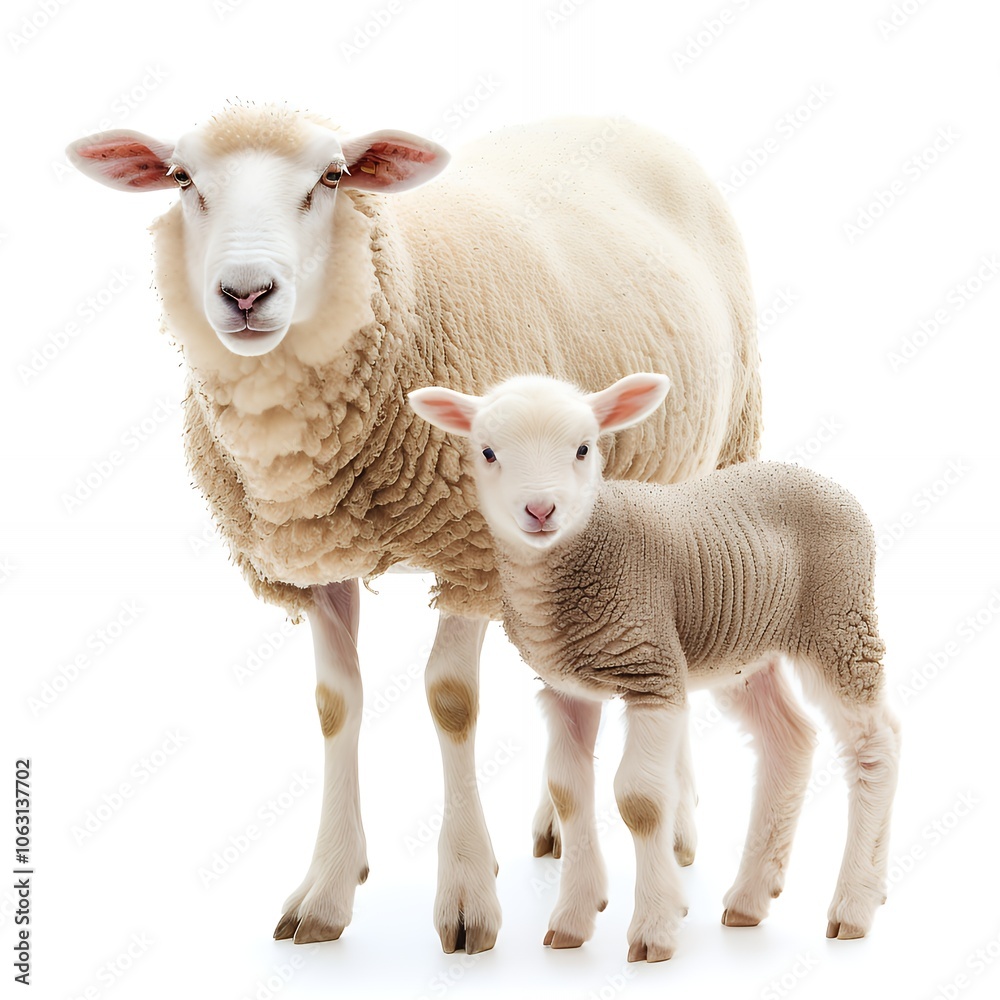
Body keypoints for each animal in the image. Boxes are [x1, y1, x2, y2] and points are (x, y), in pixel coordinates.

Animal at [65, 104, 762, 954]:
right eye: (181, 178)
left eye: (332, 176)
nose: (246, 293)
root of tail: (612, 118)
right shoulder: (318, 563)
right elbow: (335, 704)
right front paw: (328, 889)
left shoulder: (472, 551)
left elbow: (450, 699)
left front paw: (466, 896)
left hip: (719, 453)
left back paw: (682, 830)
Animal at [408, 372, 901, 963]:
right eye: (487, 451)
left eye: (584, 448)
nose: (541, 510)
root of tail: (829, 483)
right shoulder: (566, 688)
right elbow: (568, 794)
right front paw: (571, 922)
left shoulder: (653, 673)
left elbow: (640, 800)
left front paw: (654, 930)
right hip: (744, 652)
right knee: (790, 741)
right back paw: (749, 899)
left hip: (838, 622)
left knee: (876, 744)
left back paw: (855, 904)